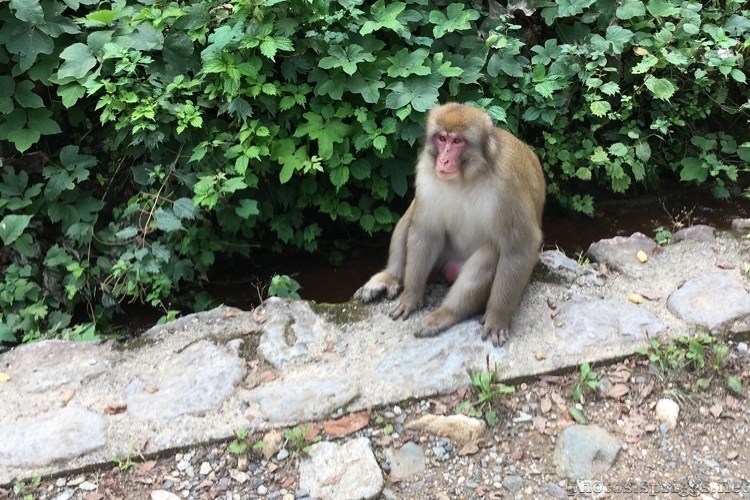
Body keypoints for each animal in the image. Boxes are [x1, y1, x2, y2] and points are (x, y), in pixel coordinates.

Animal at [355, 102, 545, 346]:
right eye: (441, 138)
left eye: (457, 141)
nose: (443, 160)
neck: (466, 177)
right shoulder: (426, 174)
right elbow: (426, 233)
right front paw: (411, 297)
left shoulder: (508, 186)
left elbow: (520, 246)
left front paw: (497, 318)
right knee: (412, 214)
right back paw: (391, 277)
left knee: (491, 251)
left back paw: (447, 314)